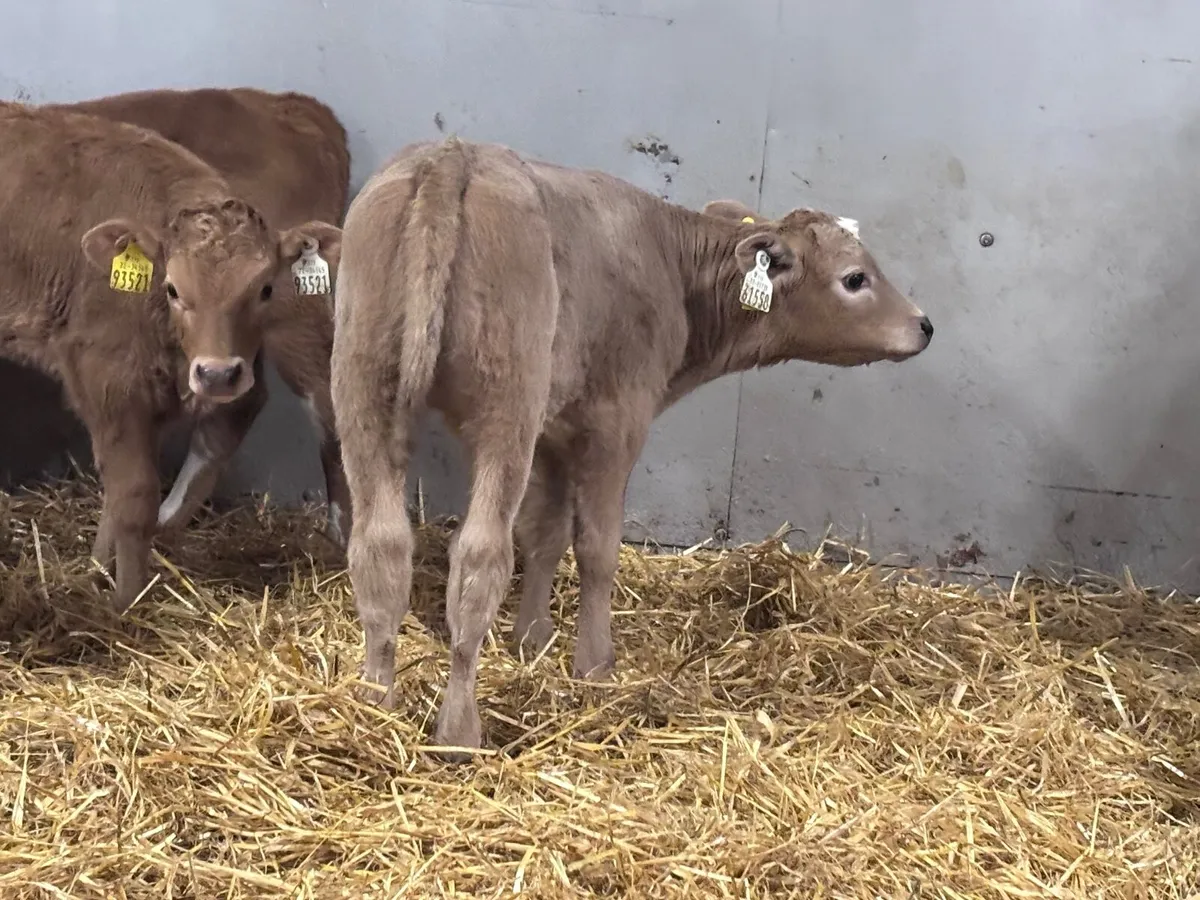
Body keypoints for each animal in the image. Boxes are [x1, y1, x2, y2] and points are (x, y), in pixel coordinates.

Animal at [0, 100, 342, 610]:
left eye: (264, 288)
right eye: (173, 288)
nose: (218, 374)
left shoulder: (117, 373)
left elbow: (133, 492)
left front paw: (123, 602)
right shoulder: (119, 377)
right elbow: (127, 489)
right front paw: (110, 580)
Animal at [329, 137, 934, 758]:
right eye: (856, 278)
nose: (924, 325)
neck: (671, 265)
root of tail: (453, 154)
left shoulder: (554, 431)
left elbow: (546, 534)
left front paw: (531, 641)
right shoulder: (616, 422)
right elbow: (596, 547)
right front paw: (595, 665)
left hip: (364, 385)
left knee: (380, 546)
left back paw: (373, 704)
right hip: (505, 406)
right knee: (479, 557)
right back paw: (458, 733)